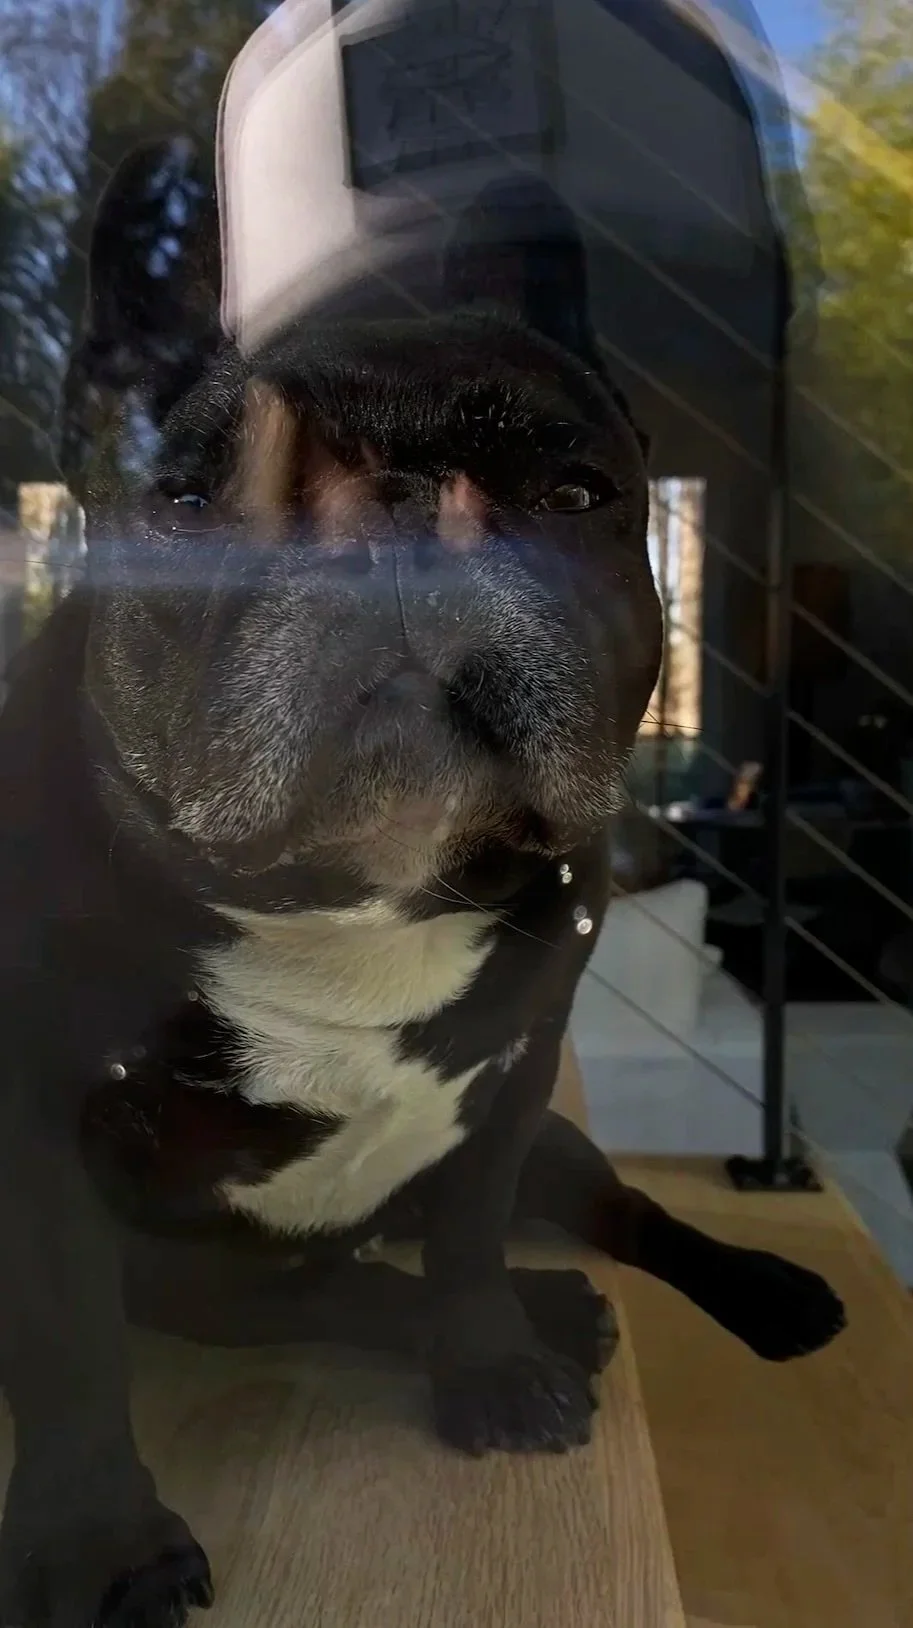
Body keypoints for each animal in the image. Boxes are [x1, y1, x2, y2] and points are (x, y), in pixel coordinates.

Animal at [0, 176, 846, 1628]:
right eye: (189, 499)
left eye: (573, 491)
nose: (394, 513)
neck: (354, 905)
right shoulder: (36, 1127)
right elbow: (65, 1342)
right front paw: (103, 1542)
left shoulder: (516, 1082)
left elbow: (463, 1236)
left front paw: (491, 1361)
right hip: (208, 1277)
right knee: (339, 1294)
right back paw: (547, 1308)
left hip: (555, 1149)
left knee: (610, 1216)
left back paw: (724, 1295)